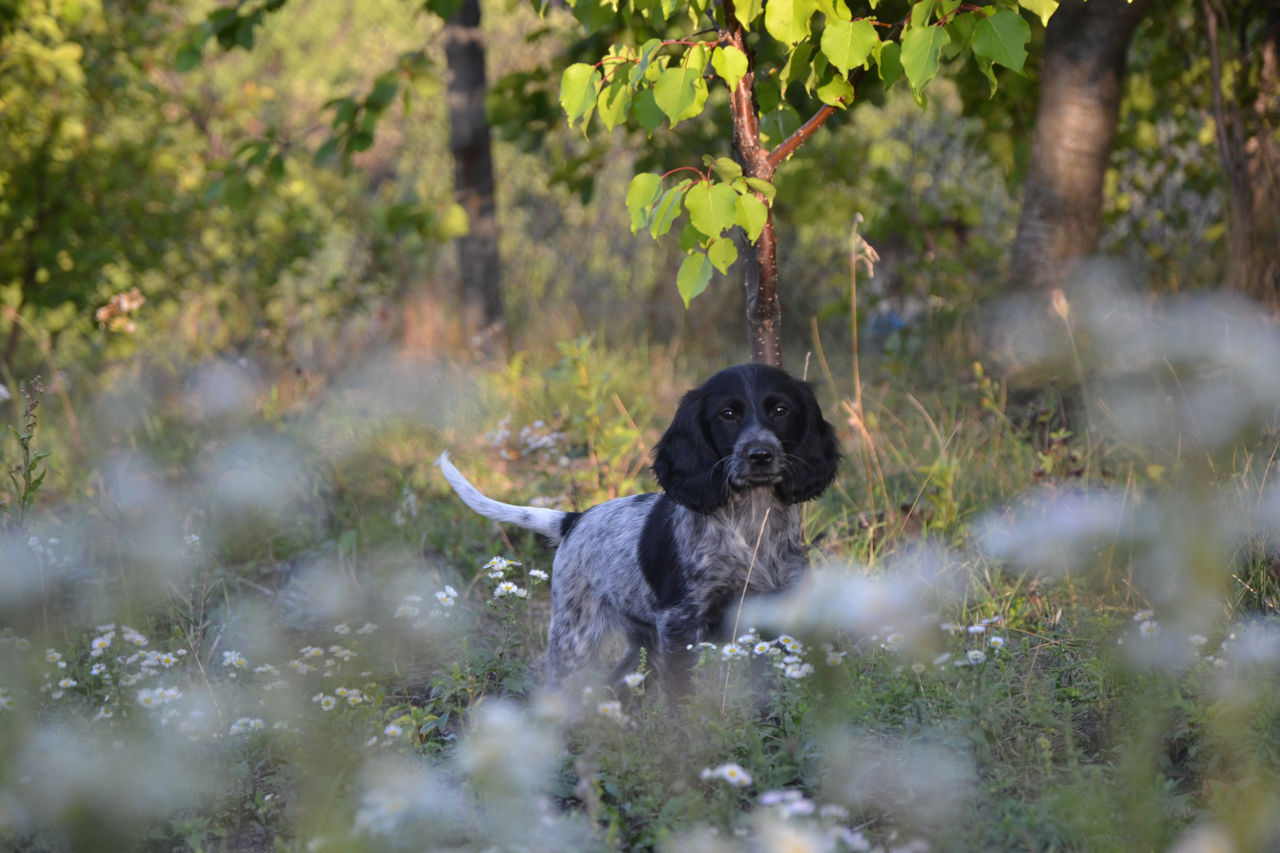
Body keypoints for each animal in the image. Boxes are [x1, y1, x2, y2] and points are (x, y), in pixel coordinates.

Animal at [440, 361, 839, 686]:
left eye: (781, 410)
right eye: (728, 414)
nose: (760, 455)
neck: (752, 522)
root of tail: (574, 518)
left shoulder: (778, 611)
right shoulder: (680, 623)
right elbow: (682, 699)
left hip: (639, 642)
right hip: (576, 637)